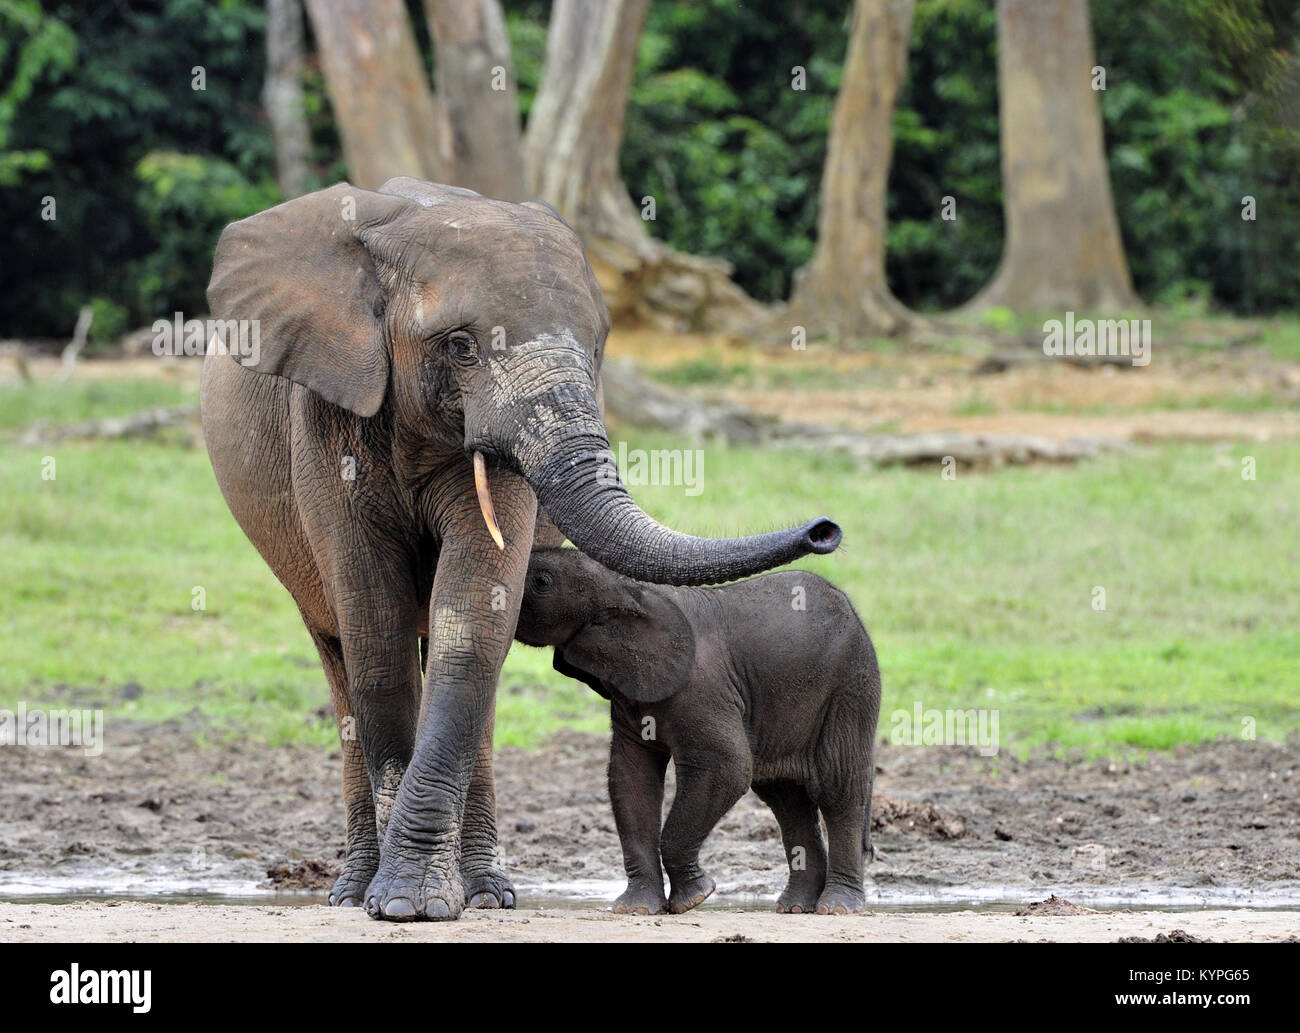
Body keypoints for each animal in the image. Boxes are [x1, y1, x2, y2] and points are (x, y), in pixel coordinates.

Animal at [199, 178, 843, 921]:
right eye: (460, 346)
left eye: (597, 348)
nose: (826, 530)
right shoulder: (330, 404)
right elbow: (376, 628)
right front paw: (396, 904)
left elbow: (472, 620)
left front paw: (416, 900)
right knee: (340, 656)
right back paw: (352, 889)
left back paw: (486, 893)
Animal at [514, 547, 880, 916]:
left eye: (542, 582)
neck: (626, 587)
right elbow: (631, 778)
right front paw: (635, 909)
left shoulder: (703, 688)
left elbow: (728, 766)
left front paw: (695, 898)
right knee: (785, 796)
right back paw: (795, 907)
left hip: (850, 686)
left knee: (837, 787)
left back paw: (836, 907)